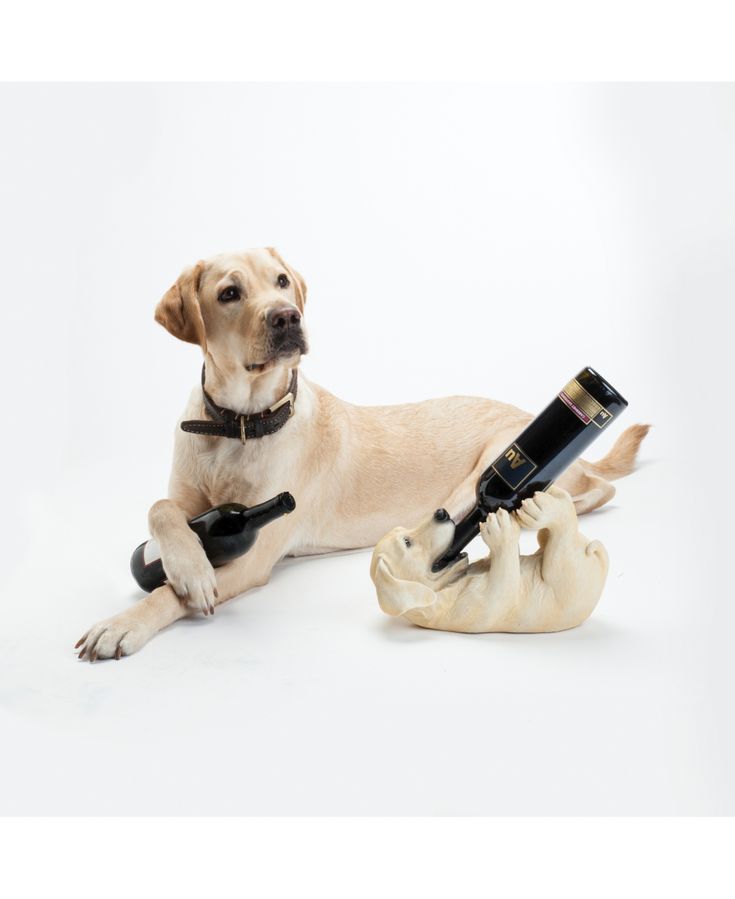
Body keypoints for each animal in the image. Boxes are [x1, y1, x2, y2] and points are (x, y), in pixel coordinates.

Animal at [374, 486, 608, 632]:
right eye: (407, 542)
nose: (441, 512)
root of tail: (599, 563)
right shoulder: (475, 607)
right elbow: (504, 582)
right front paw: (500, 529)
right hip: (566, 577)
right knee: (562, 540)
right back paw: (544, 510)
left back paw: (552, 500)